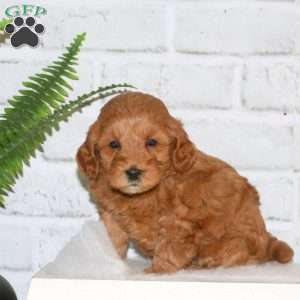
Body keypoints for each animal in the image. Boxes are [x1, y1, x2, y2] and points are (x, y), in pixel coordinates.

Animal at [76, 92, 294, 274]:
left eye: (151, 142)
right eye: (114, 144)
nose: (133, 172)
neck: (143, 195)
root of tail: (268, 241)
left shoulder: (178, 222)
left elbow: (169, 248)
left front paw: (157, 271)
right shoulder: (111, 216)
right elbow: (113, 241)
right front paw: (107, 263)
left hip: (236, 241)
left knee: (236, 254)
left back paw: (202, 264)